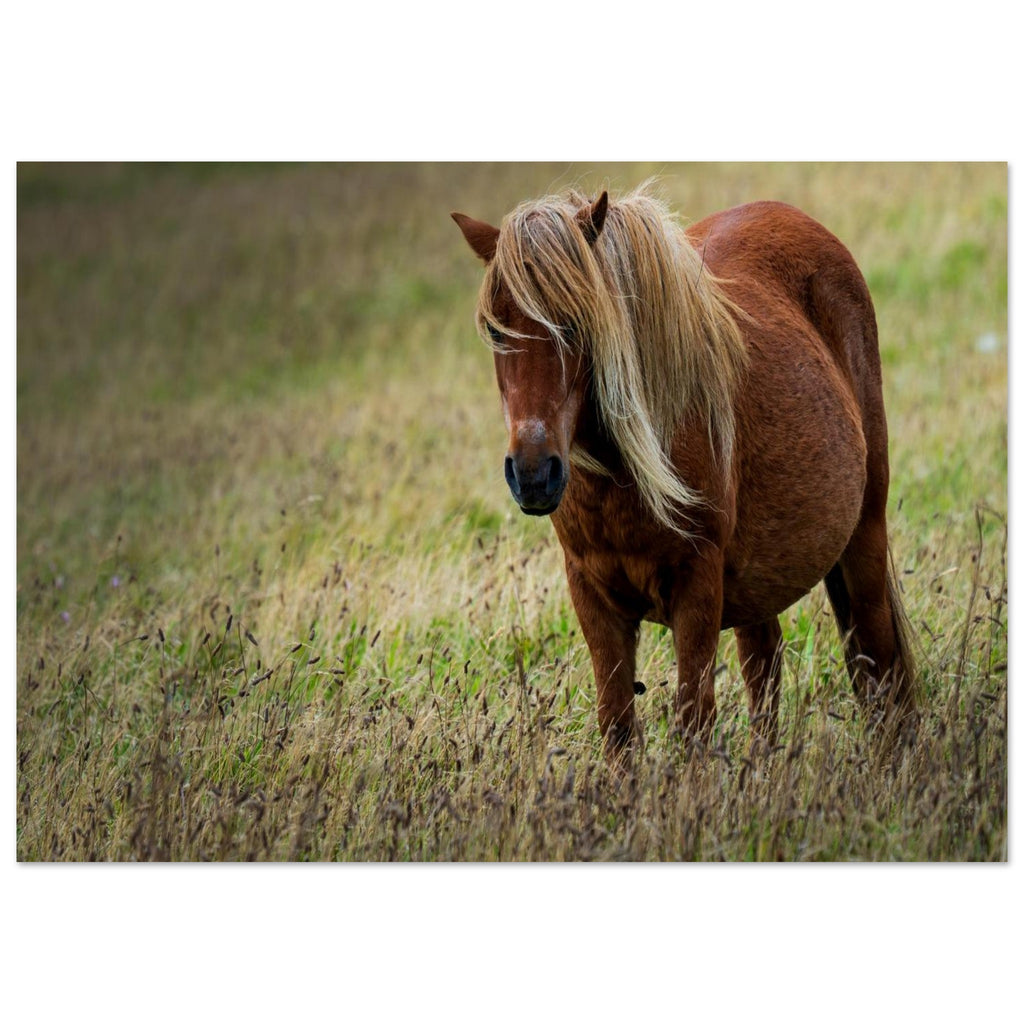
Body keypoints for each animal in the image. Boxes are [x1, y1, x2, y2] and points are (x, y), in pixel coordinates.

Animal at [452, 185, 915, 762]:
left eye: (576, 323)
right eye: (497, 331)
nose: (534, 474)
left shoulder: (697, 586)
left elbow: (694, 721)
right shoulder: (591, 593)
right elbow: (618, 726)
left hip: (863, 536)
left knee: (879, 660)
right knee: (766, 670)